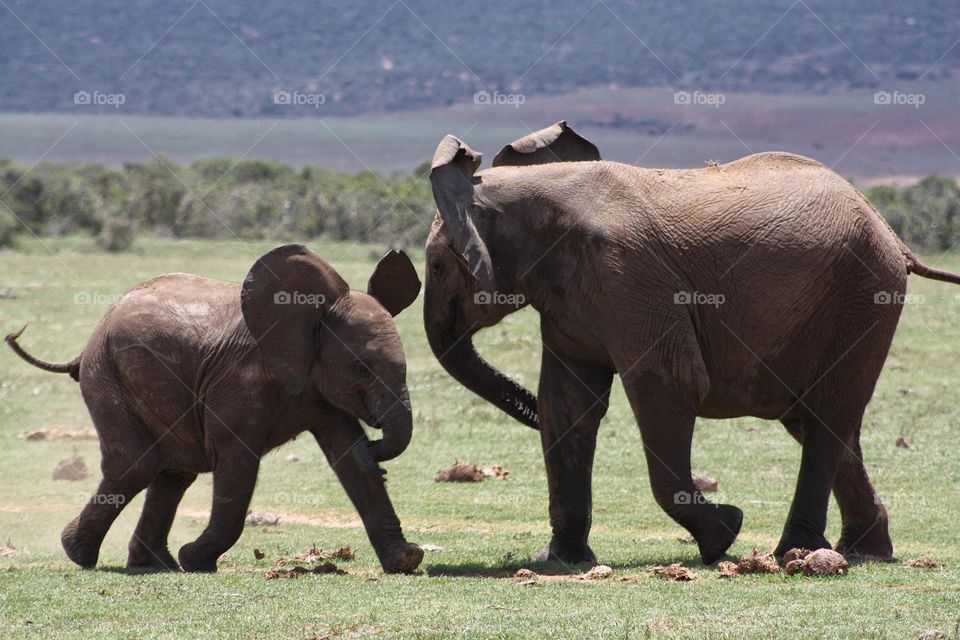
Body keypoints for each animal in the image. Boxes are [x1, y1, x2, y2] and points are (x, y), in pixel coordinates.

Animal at [5, 246, 422, 576]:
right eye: (362, 369)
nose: (377, 448)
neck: (312, 318)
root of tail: (87, 342)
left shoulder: (318, 386)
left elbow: (348, 461)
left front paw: (407, 560)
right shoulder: (241, 381)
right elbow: (237, 463)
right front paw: (196, 559)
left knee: (172, 473)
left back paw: (153, 563)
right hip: (108, 375)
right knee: (136, 465)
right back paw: (81, 554)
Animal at [424, 121, 960, 564]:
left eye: (436, 264)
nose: (524, 408)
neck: (526, 192)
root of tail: (892, 233)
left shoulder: (627, 278)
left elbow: (667, 384)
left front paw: (724, 534)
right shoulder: (569, 299)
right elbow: (568, 403)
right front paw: (559, 561)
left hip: (864, 294)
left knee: (827, 413)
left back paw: (796, 553)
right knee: (815, 419)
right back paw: (863, 552)